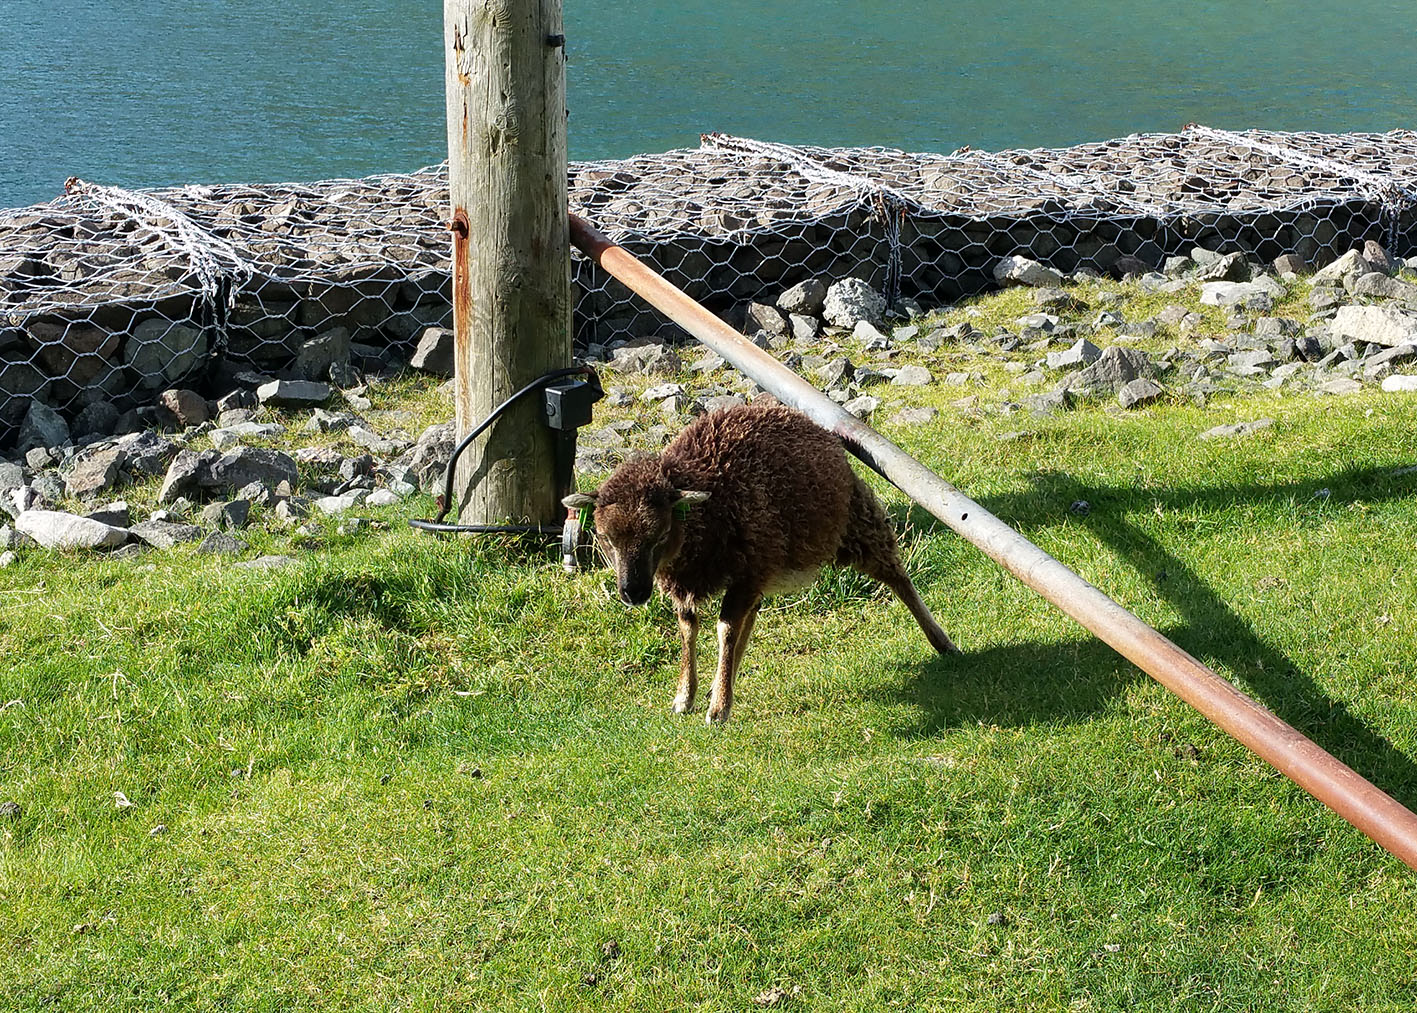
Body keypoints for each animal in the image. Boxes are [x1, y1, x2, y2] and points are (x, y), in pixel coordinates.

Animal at [563, 400, 959, 724]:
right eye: (605, 538)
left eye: (660, 535)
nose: (632, 593)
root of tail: (813, 425)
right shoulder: (693, 580)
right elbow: (689, 628)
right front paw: (687, 696)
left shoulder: (745, 569)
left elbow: (724, 628)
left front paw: (718, 710)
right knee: (750, 615)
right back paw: (721, 681)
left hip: (853, 522)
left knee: (896, 575)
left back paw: (942, 641)